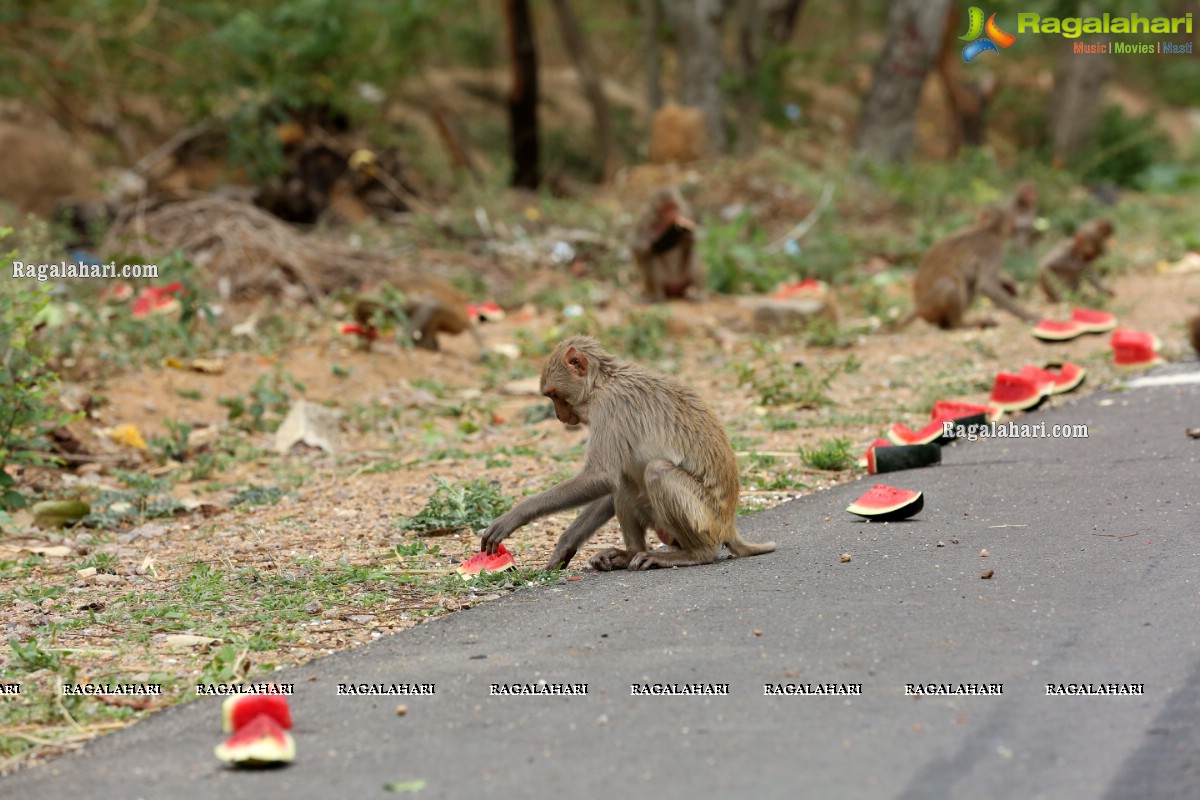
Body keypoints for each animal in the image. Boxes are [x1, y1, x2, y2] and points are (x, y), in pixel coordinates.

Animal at [480, 335, 777, 573]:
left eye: (554, 395)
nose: (559, 416)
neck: (603, 382)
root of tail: (729, 525)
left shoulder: (608, 407)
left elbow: (601, 476)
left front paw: (516, 515)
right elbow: (610, 483)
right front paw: (564, 546)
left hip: (707, 519)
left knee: (656, 471)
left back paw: (694, 554)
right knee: (626, 483)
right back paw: (630, 554)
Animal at [897, 209, 1036, 331]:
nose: (1015, 225)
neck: (989, 230)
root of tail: (918, 307)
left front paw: (1008, 286)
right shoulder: (994, 249)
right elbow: (987, 285)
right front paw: (1029, 316)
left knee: (969, 283)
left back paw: (947, 324)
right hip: (930, 306)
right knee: (952, 283)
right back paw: (959, 324)